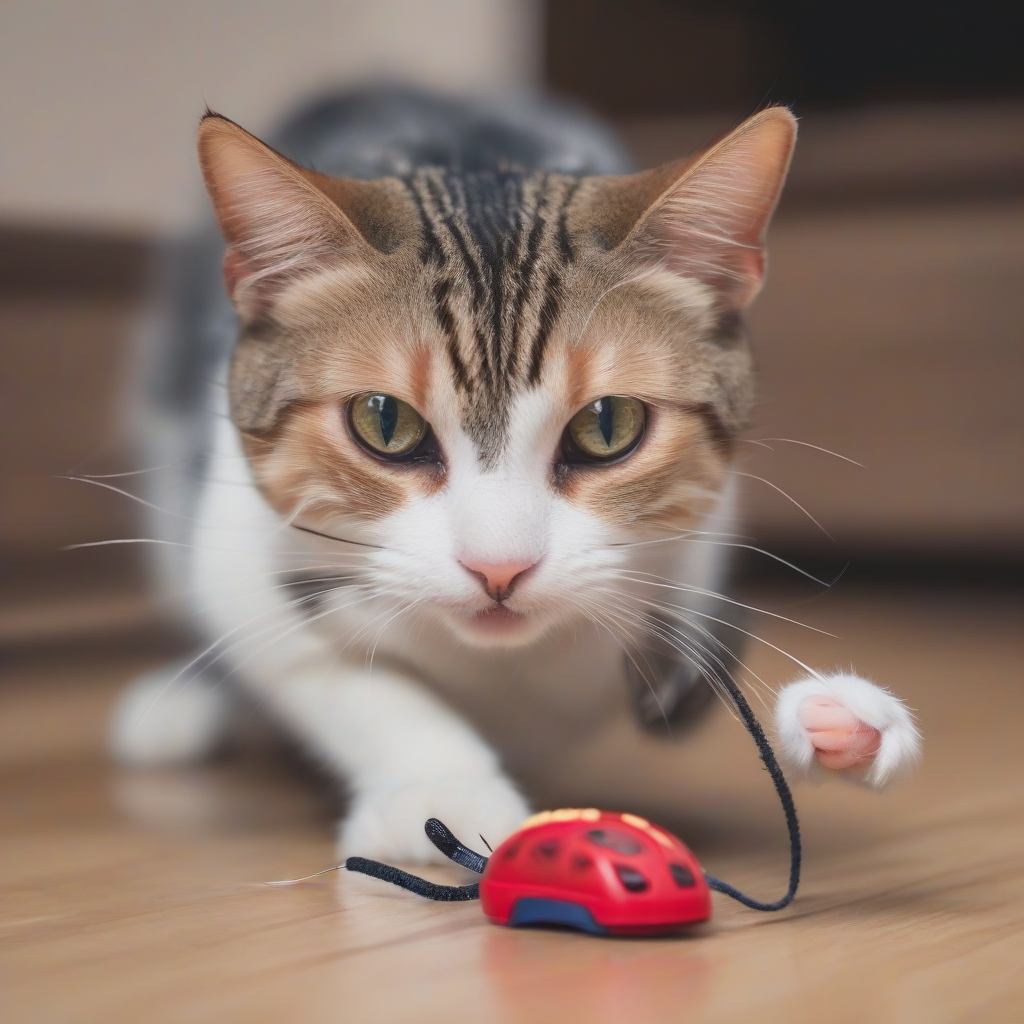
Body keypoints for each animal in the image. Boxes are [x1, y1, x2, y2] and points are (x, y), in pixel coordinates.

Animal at [110, 88, 921, 860]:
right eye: (384, 422)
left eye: (607, 426)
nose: (498, 569)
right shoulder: (237, 547)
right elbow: (325, 669)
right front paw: (443, 791)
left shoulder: (701, 545)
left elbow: (672, 639)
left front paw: (839, 722)